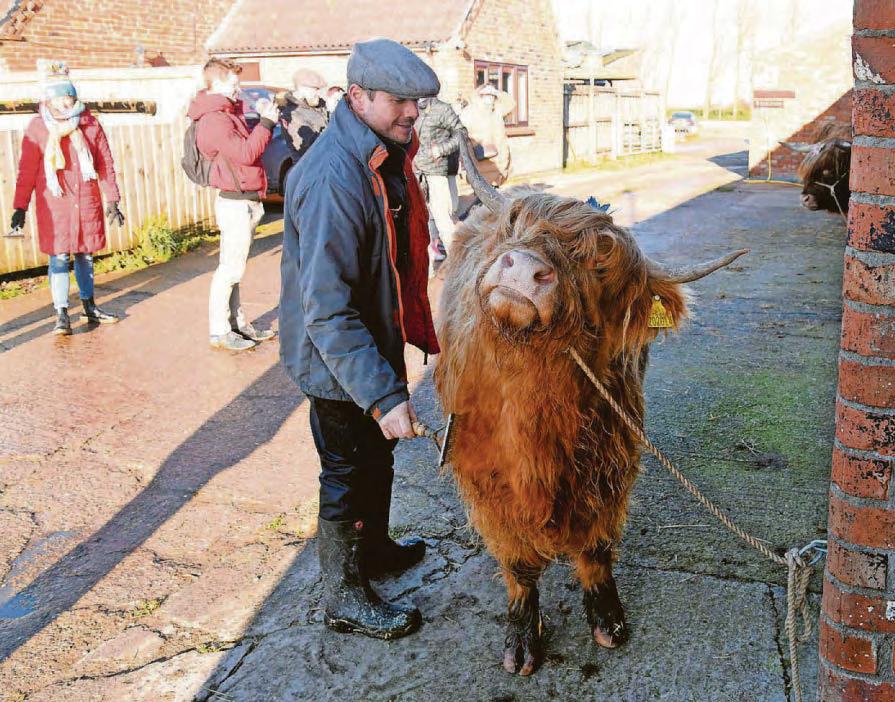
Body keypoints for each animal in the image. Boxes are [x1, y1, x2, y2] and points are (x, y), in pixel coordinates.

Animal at [433, 133, 746, 676]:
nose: (522, 270)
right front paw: (522, 638)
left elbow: (597, 548)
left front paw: (607, 618)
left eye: (600, 266)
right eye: (516, 224)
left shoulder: (611, 459)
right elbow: (517, 561)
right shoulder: (485, 477)